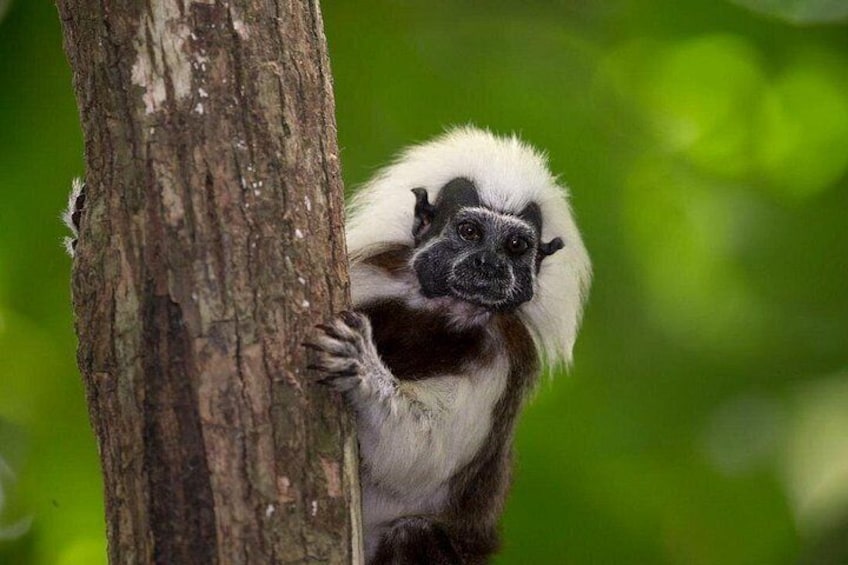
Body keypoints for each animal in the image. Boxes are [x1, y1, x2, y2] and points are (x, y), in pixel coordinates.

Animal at [307, 127, 591, 564]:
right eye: (470, 232)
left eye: (515, 246)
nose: (488, 265)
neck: (441, 311)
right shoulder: (373, 275)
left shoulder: (501, 357)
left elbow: (418, 455)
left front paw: (364, 372)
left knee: (413, 532)